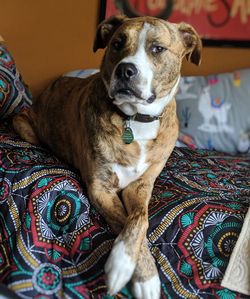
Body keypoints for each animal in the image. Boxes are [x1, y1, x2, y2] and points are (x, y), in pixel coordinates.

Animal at [13, 15, 201, 299]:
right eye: (117, 43)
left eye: (157, 48)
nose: (125, 70)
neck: (135, 120)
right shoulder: (100, 188)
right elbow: (125, 220)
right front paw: (129, 270)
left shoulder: (141, 186)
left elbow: (139, 220)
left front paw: (137, 271)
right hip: (23, 125)